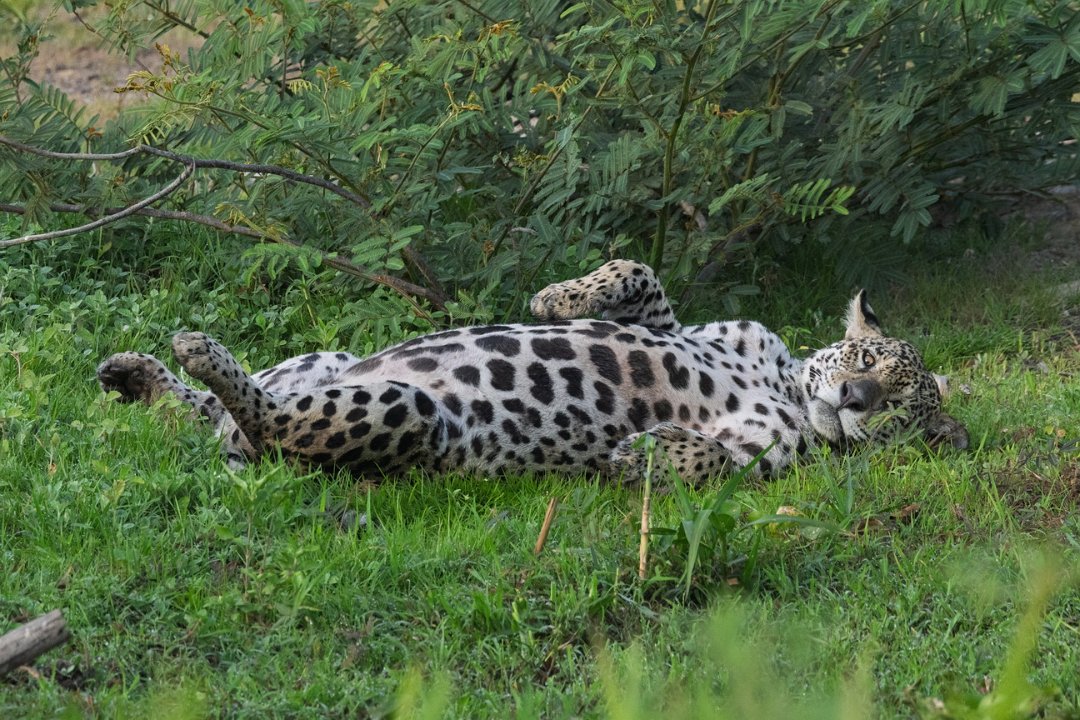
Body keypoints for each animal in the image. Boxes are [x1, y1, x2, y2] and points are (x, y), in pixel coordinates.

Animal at [96, 260, 968, 484]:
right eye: (864, 359)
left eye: (899, 411)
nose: (853, 398)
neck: (781, 381)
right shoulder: (694, 328)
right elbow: (639, 274)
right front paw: (560, 298)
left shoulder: (769, 454)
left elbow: (713, 461)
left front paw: (637, 454)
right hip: (327, 361)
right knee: (214, 410)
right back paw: (137, 367)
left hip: (407, 413)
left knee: (268, 422)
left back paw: (197, 353)